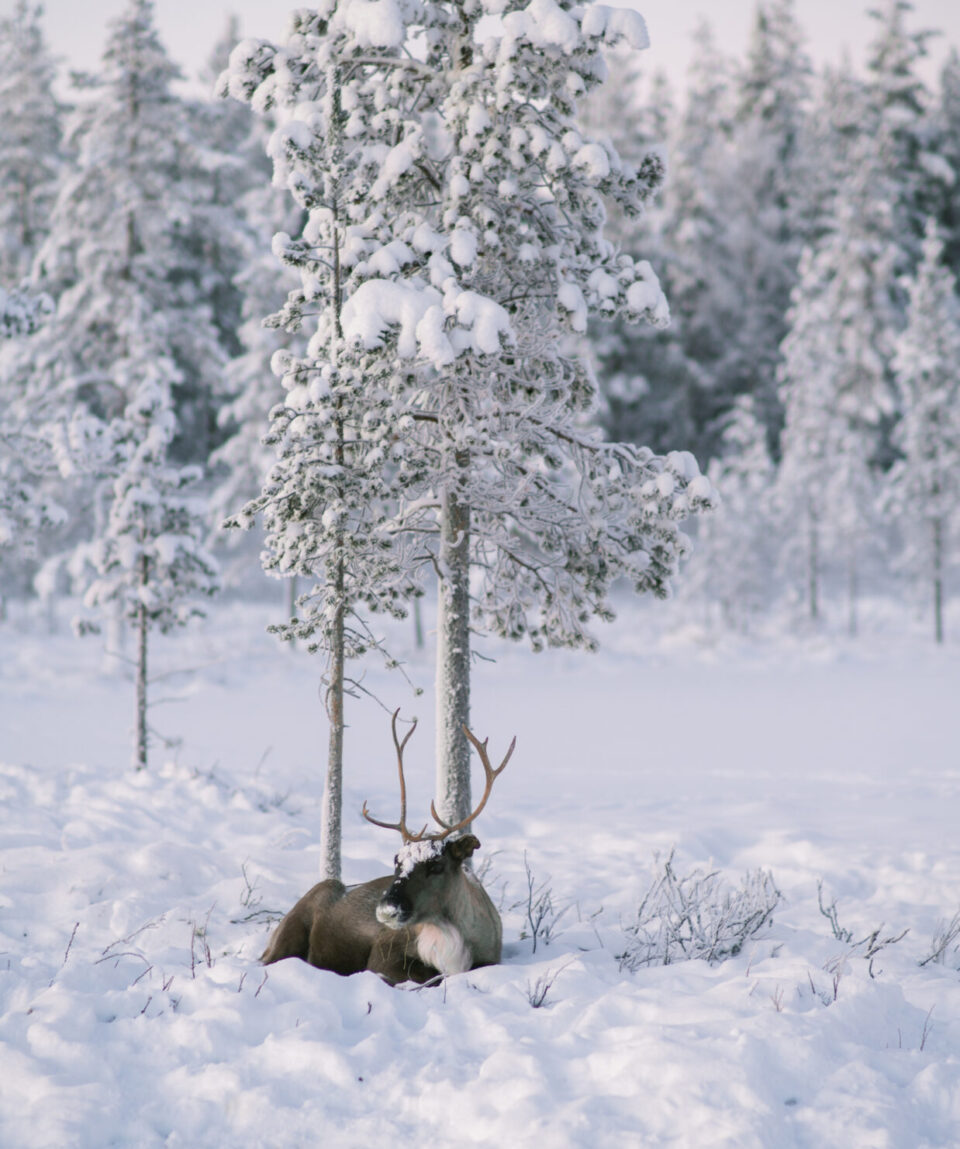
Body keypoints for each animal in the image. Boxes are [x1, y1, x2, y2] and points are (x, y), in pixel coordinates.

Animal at [260, 711, 515, 985]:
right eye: (396, 860)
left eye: (436, 865)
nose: (386, 911)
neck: (449, 933)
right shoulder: (382, 957)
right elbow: (426, 976)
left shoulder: (489, 957)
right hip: (291, 930)